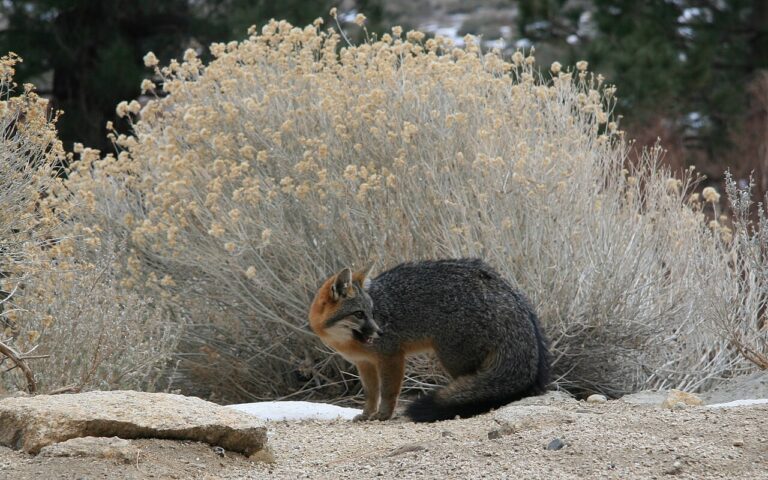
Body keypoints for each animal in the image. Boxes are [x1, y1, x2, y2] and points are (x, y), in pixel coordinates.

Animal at [308, 258, 550, 422]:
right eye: (359, 314)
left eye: (372, 312)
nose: (380, 332)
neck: (344, 341)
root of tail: (506, 289)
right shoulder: (364, 363)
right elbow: (371, 394)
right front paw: (367, 414)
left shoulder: (391, 356)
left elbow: (388, 391)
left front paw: (383, 415)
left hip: (453, 359)